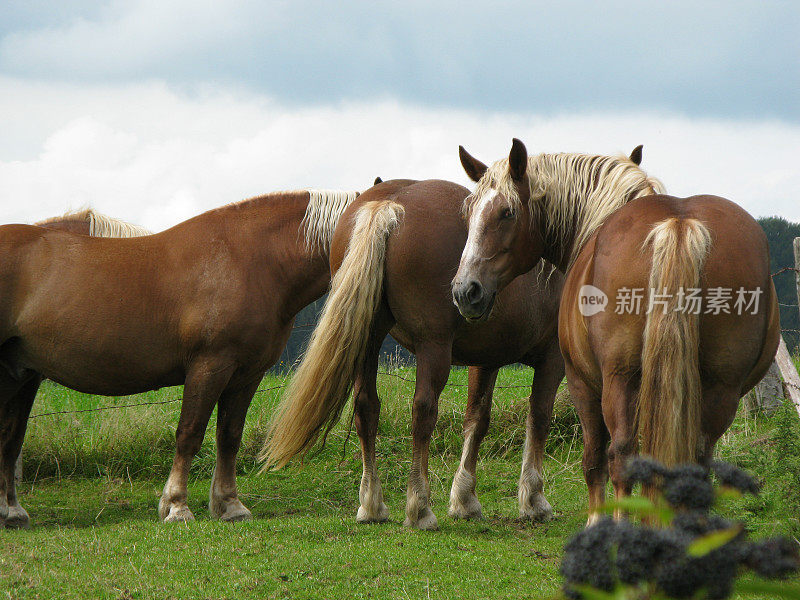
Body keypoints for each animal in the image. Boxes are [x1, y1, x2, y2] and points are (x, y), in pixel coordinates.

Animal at [0, 190, 356, 528]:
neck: (249, 260)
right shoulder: (209, 367)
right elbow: (189, 435)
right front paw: (176, 507)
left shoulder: (246, 376)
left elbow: (229, 437)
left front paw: (230, 506)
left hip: (20, 375)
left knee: (10, 438)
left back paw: (12, 512)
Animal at [262, 178, 564, 528]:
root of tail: (389, 203)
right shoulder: (552, 358)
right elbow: (538, 417)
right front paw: (534, 499)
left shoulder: (486, 360)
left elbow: (478, 419)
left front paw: (465, 499)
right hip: (433, 347)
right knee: (423, 410)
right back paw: (419, 507)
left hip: (369, 340)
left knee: (366, 407)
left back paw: (372, 505)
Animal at [454, 139, 780, 520]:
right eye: (469, 213)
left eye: (506, 213)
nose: (465, 291)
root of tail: (679, 223)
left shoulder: (580, 381)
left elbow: (594, 457)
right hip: (719, 388)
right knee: (696, 459)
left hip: (620, 379)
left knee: (621, 455)